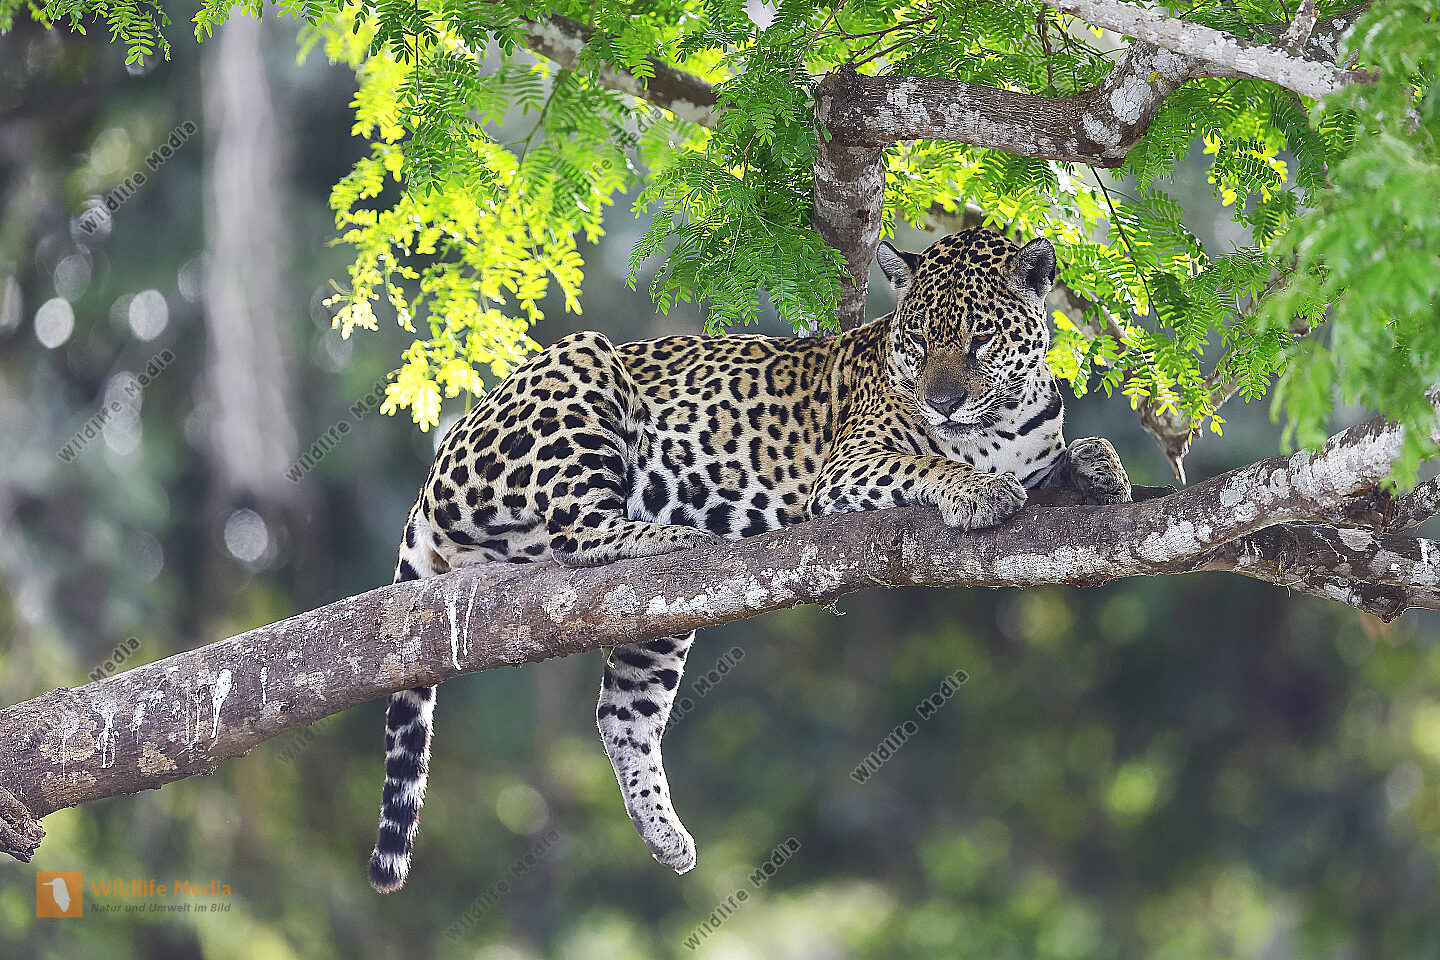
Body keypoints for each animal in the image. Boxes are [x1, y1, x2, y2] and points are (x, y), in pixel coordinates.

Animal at [367, 227, 1132, 893]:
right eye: (918, 341)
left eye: (979, 340)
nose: (942, 401)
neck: (1001, 421)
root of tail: (441, 455)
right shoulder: (849, 468)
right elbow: (928, 463)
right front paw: (978, 489)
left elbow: (1071, 455)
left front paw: (1103, 469)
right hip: (582, 367)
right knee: (576, 531)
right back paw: (674, 533)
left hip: (656, 616)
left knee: (620, 713)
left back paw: (666, 836)